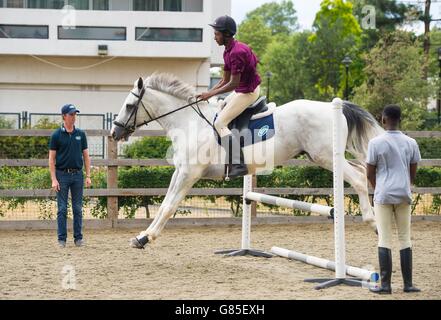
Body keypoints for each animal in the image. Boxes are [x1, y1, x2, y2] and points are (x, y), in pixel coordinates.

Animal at [110, 74, 382, 249]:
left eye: (130, 105)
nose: (115, 132)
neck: (189, 122)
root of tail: (334, 106)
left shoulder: (190, 174)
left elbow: (169, 205)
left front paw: (146, 238)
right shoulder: (180, 171)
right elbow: (166, 202)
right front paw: (143, 236)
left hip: (325, 156)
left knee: (358, 178)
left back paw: (374, 223)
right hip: (326, 156)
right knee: (361, 171)